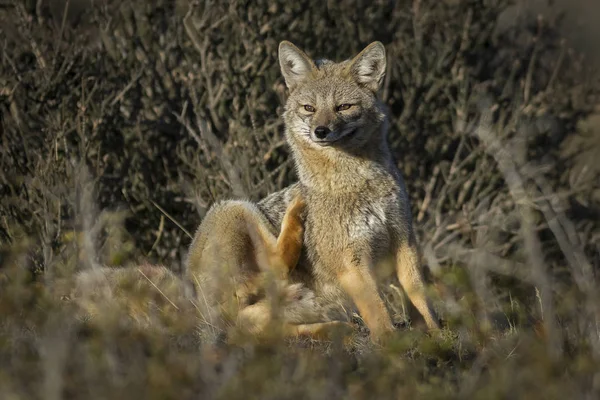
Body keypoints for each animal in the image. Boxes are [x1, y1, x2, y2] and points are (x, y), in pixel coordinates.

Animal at [188, 39, 440, 340]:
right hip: (233, 208)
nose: (321, 130)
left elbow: (420, 299)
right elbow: (378, 312)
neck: (360, 183)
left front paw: (439, 335)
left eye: (343, 107)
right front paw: (390, 343)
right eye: (309, 108)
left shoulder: (404, 241)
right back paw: (296, 209)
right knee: (274, 267)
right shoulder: (350, 261)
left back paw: (335, 329)